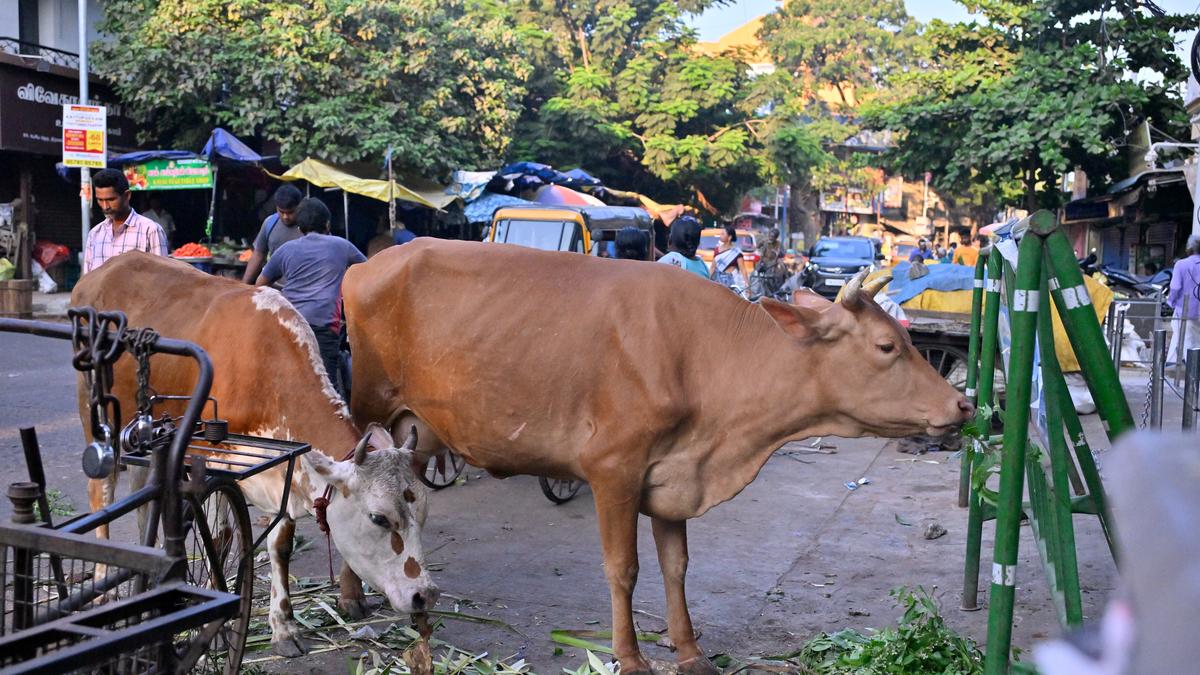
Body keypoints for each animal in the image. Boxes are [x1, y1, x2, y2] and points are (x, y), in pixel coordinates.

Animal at [70, 251, 436, 653]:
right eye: (379, 519)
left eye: (422, 512)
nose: (425, 594)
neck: (266, 371)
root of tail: (103, 270)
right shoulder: (211, 462)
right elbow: (218, 538)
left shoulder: (287, 469)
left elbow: (280, 545)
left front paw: (284, 625)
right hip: (97, 413)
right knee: (101, 491)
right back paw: (103, 583)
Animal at [343, 239, 969, 667]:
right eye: (887, 346)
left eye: (908, 339)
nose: (962, 404)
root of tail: (369, 262)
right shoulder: (613, 468)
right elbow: (624, 568)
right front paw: (630, 656)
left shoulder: (673, 475)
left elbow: (677, 565)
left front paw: (689, 650)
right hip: (366, 405)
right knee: (343, 496)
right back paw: (350, 598)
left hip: (419, 432)